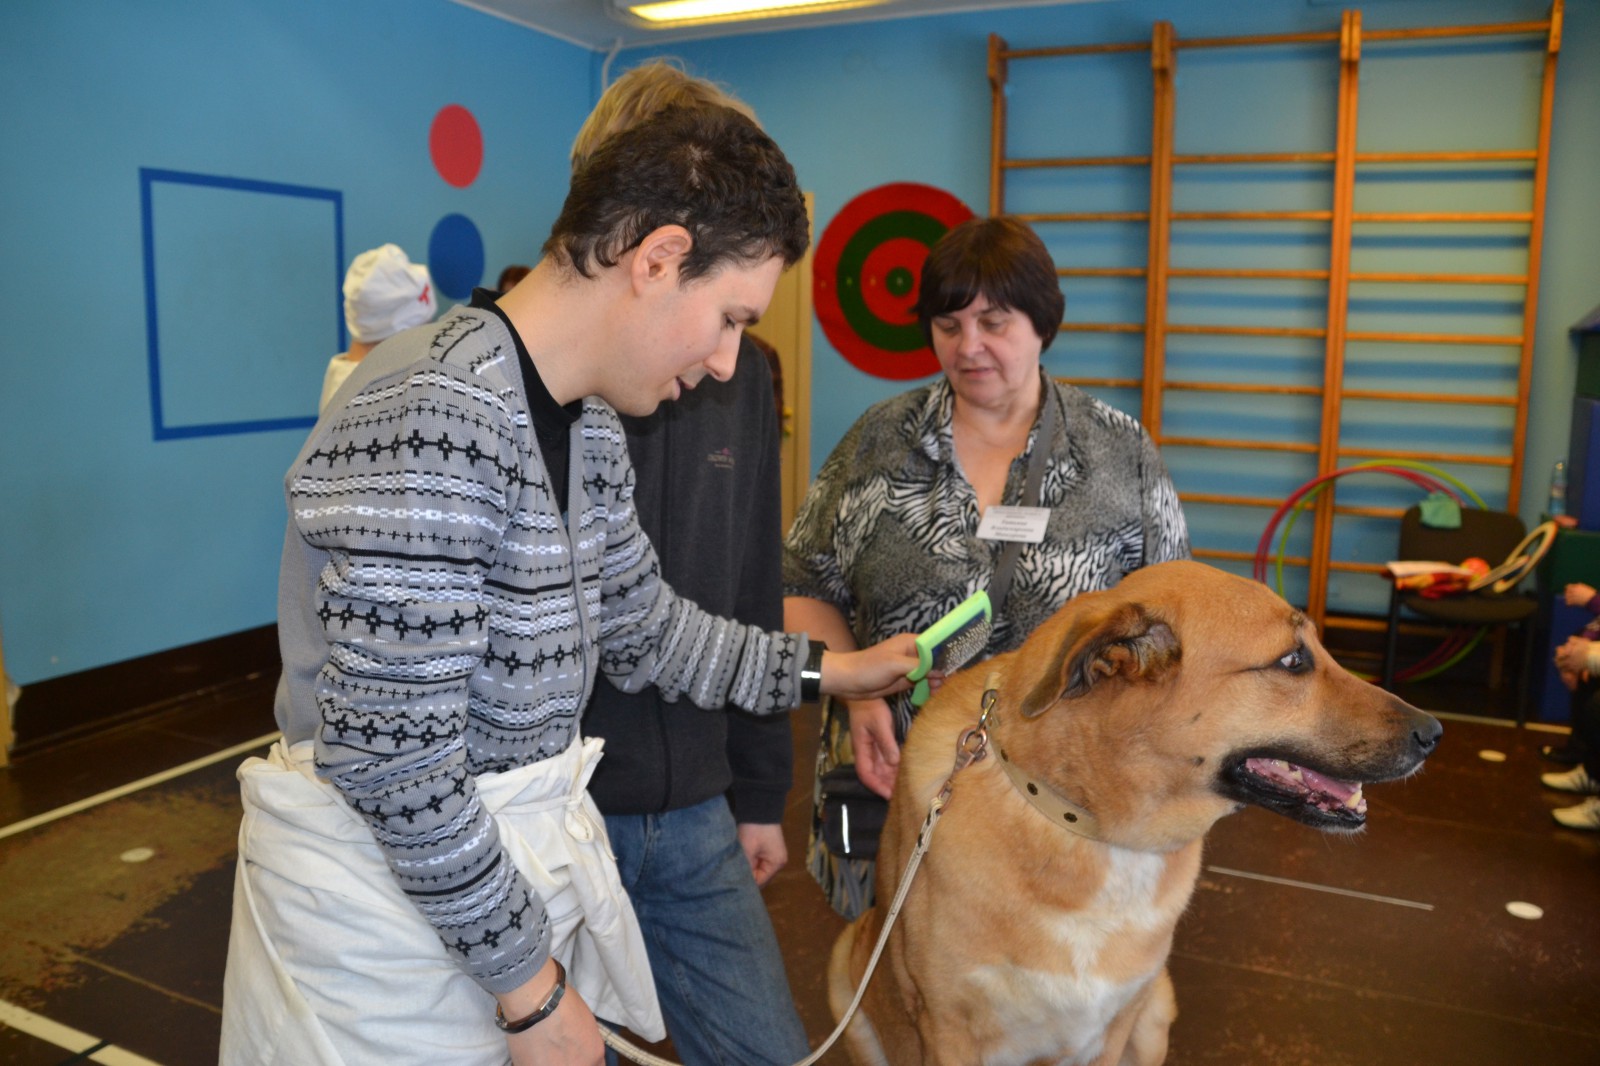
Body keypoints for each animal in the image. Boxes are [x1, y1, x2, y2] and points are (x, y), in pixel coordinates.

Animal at [828, 560, 1442, 1066]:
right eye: (1292, 661)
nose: (1433, 733)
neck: (1093, 832)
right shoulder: (948, 1032)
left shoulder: (1114, 1026)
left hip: (1154, 1016)